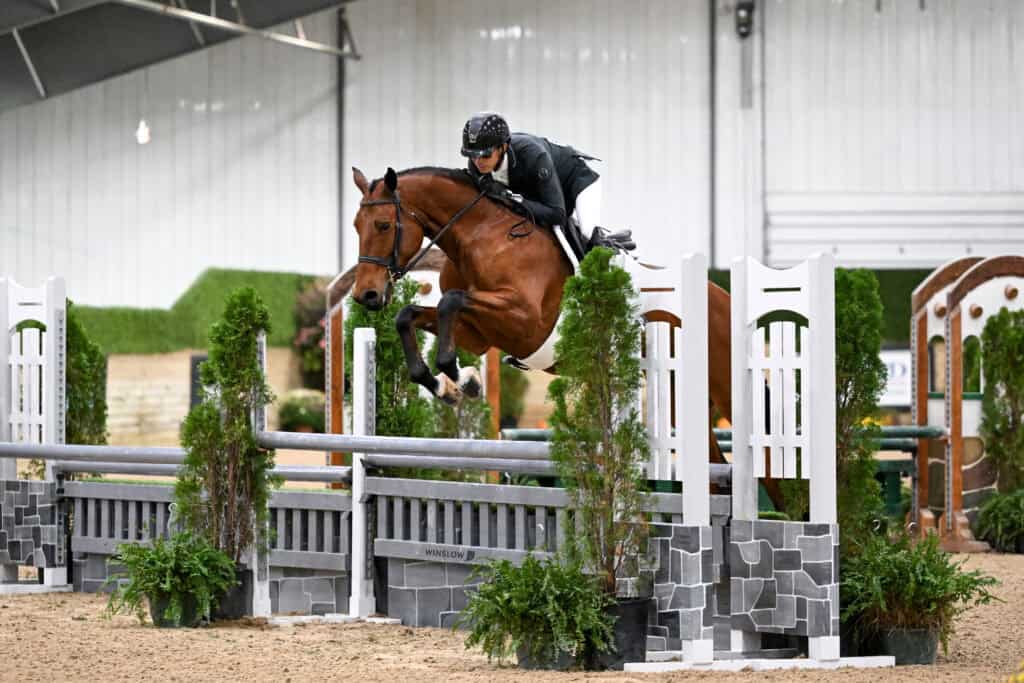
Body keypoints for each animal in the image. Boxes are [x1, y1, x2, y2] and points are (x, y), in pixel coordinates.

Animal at [348, 165, 779, 504]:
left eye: (383, 225)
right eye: (356, 227)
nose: (365, 295)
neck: (482, 236)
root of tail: (724, 298)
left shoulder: (524, 323)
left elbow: (450, 302)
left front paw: (462, 380)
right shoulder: (477, 333)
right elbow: (411, 315)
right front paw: (446, 384)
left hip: (719, 385)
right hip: (679, 396)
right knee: (715, 473)